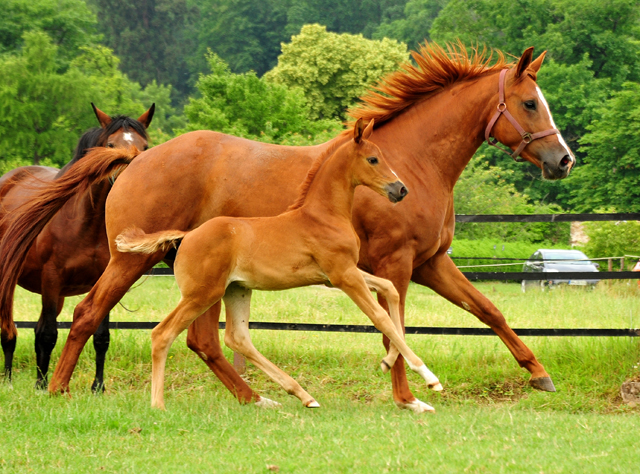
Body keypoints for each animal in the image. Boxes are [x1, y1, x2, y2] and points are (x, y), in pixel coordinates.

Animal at [0, 103, 154, 388]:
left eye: (145, 146)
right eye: (111, 144)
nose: (130, 182)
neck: (84, 223)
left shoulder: (102, 279)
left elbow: (100, 336)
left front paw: (97, 387)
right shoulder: (52, 279)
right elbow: (48, 334)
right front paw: (42, 388)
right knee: (9, 330)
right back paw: (8, 380)